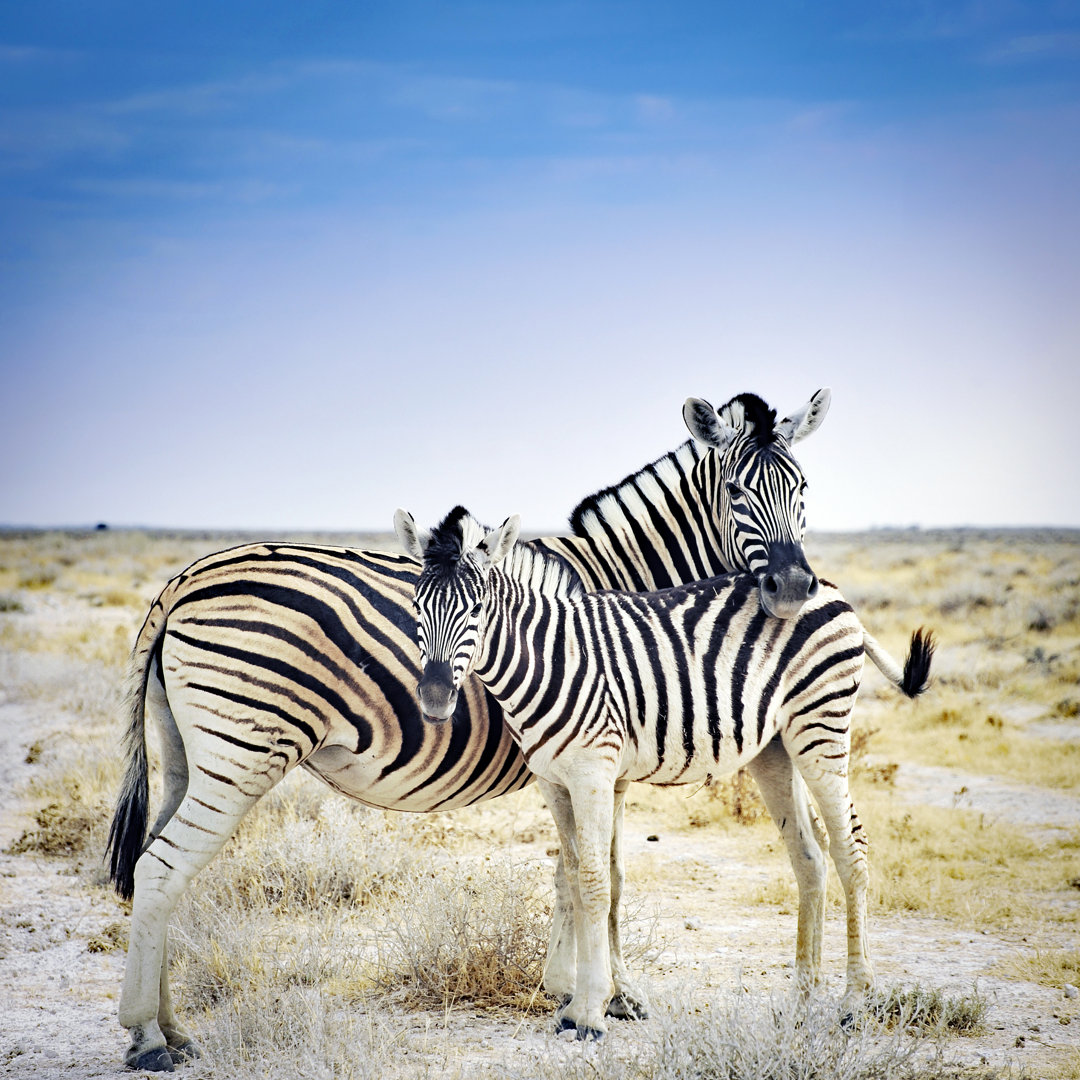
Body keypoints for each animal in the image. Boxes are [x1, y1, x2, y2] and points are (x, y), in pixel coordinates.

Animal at [105, 390, 825, 1071]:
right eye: (736, 492)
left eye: (804, 488)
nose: (793, 588)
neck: (623, 588)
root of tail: (184, 578)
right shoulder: (600, 761)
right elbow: (607, 875)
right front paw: (608, 995)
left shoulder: (579, 759)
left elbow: (575, 869)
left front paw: (568, 989)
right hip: (242, 754)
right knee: (164, 866)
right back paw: (147, 1038)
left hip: (187, 756)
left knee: (152, 865)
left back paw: (172, 1029)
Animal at [393, 505, 933, 1036]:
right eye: (417, 607)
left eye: (476, 611)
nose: (435, 699)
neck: (549, 659)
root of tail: (830, 590)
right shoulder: (553, 781)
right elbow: (575, 876)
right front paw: (581, 1004)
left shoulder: (593, 773)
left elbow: (593, 882)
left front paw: (590, 1012)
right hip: (775, 748)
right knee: (809, 857)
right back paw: (801, 1006)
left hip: (821, 728)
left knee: (850, 849)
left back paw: (854, 1002)